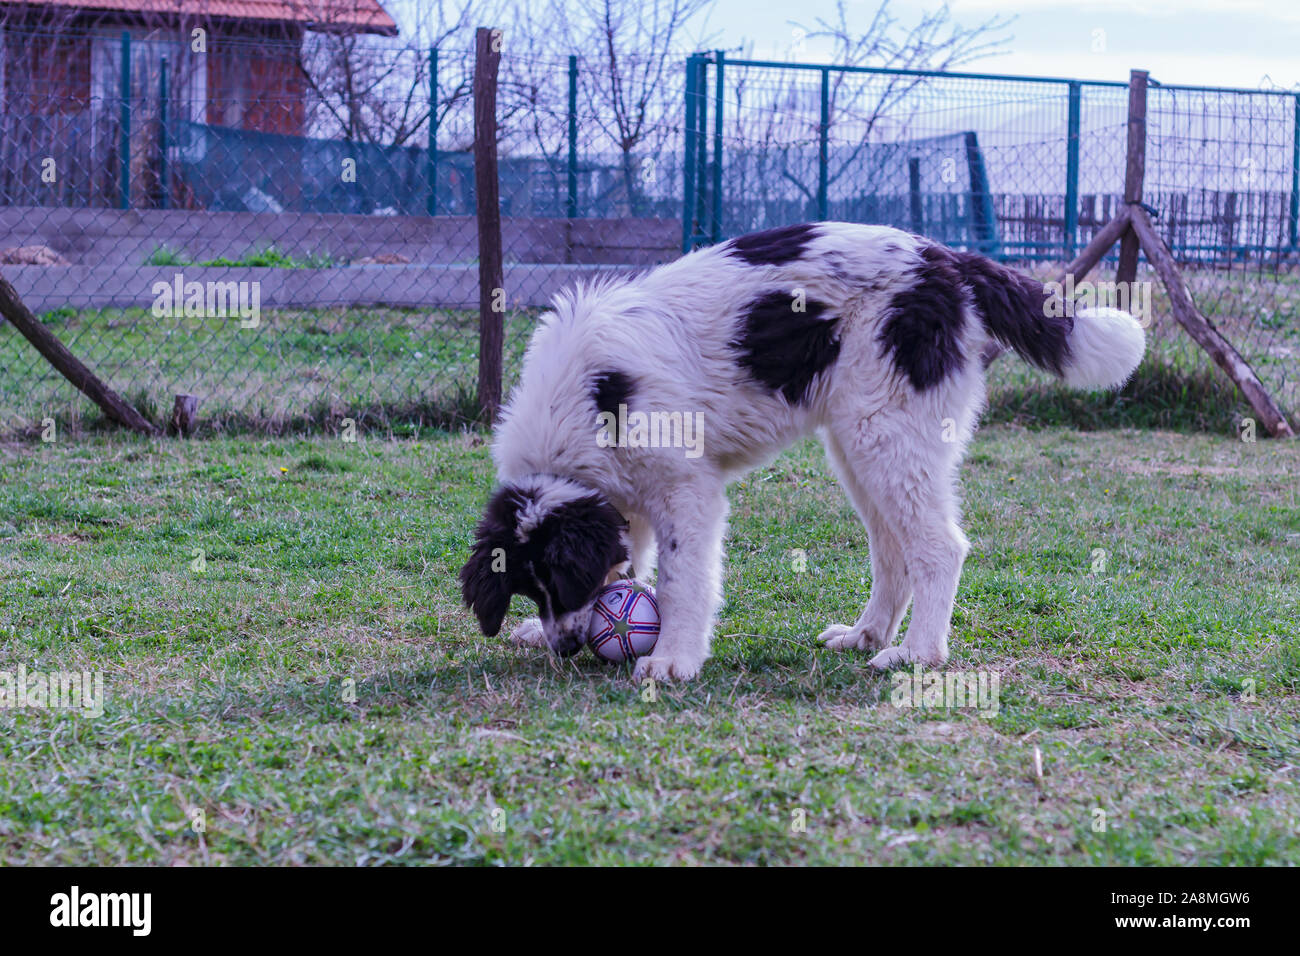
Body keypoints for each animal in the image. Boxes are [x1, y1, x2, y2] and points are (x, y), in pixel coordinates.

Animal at [454, 223, 1138, 686]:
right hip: (860, 445)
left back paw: (917, 653)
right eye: (530, 587)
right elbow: (635, 560)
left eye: (560, 579)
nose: (565, 648)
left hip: (885, 436)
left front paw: (673, 658)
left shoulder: (686, 492)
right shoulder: (630, 494)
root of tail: (946, 259)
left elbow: (681, 580)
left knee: (940, 547)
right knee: (893, 550)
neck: (583, 403)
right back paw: (866, 634)